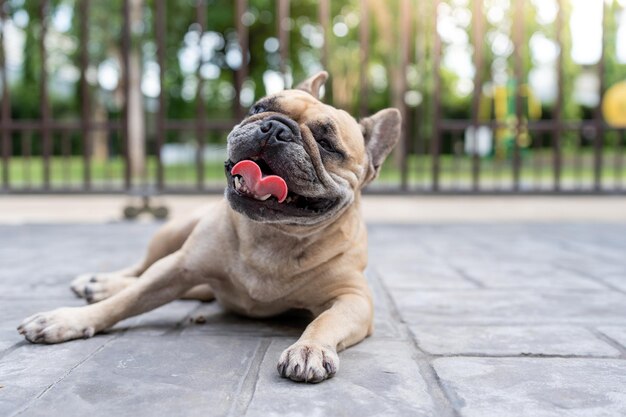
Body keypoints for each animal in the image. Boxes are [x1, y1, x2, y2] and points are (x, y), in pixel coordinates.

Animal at [18, 70, 400, 380]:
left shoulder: (353, 298)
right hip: (171, 236)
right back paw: (98, 284)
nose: (276, 127)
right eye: (258, 108)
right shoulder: (179, 266)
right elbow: (127, 300)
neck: (272, 235)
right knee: (141, 270)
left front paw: (310, 350)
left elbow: (324, 320)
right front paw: (68, 319)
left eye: (326, 144)